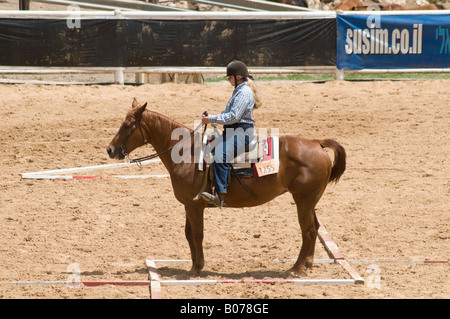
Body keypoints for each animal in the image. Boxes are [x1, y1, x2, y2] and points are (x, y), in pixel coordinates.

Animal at [107, 99, 346, 276]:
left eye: (127, 126)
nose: (110, 150)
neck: (187, 153)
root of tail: (316, 143)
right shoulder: (189, 205)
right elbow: (188, 234)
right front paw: (193, 265)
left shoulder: (195, 206)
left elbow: (197, 234)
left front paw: (197, 268)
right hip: (309, 201)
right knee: (315, 228)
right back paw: (307, 265)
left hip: (303, 201)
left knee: (308, 231)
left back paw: (295, 269)